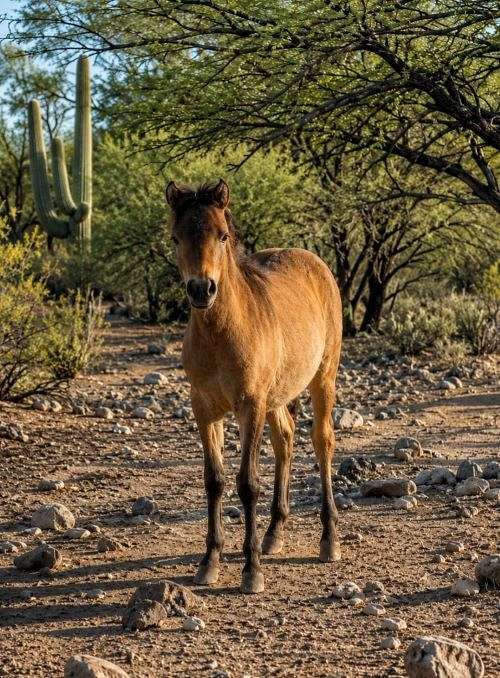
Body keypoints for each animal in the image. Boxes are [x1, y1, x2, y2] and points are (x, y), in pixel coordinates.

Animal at [166, 178, 342, 594]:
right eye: (176, 237)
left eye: (223, 235)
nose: (201, 290)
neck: (222, 334)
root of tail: (316, 263)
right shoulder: (204, 408)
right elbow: (214, 479)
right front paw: (210, 561)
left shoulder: (250, 406)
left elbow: (247, 483)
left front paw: (252, 569)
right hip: (277, 397)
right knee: (286, 441)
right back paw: (274, 533)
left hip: (322, 378)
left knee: (321, 442)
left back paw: (328, 540)